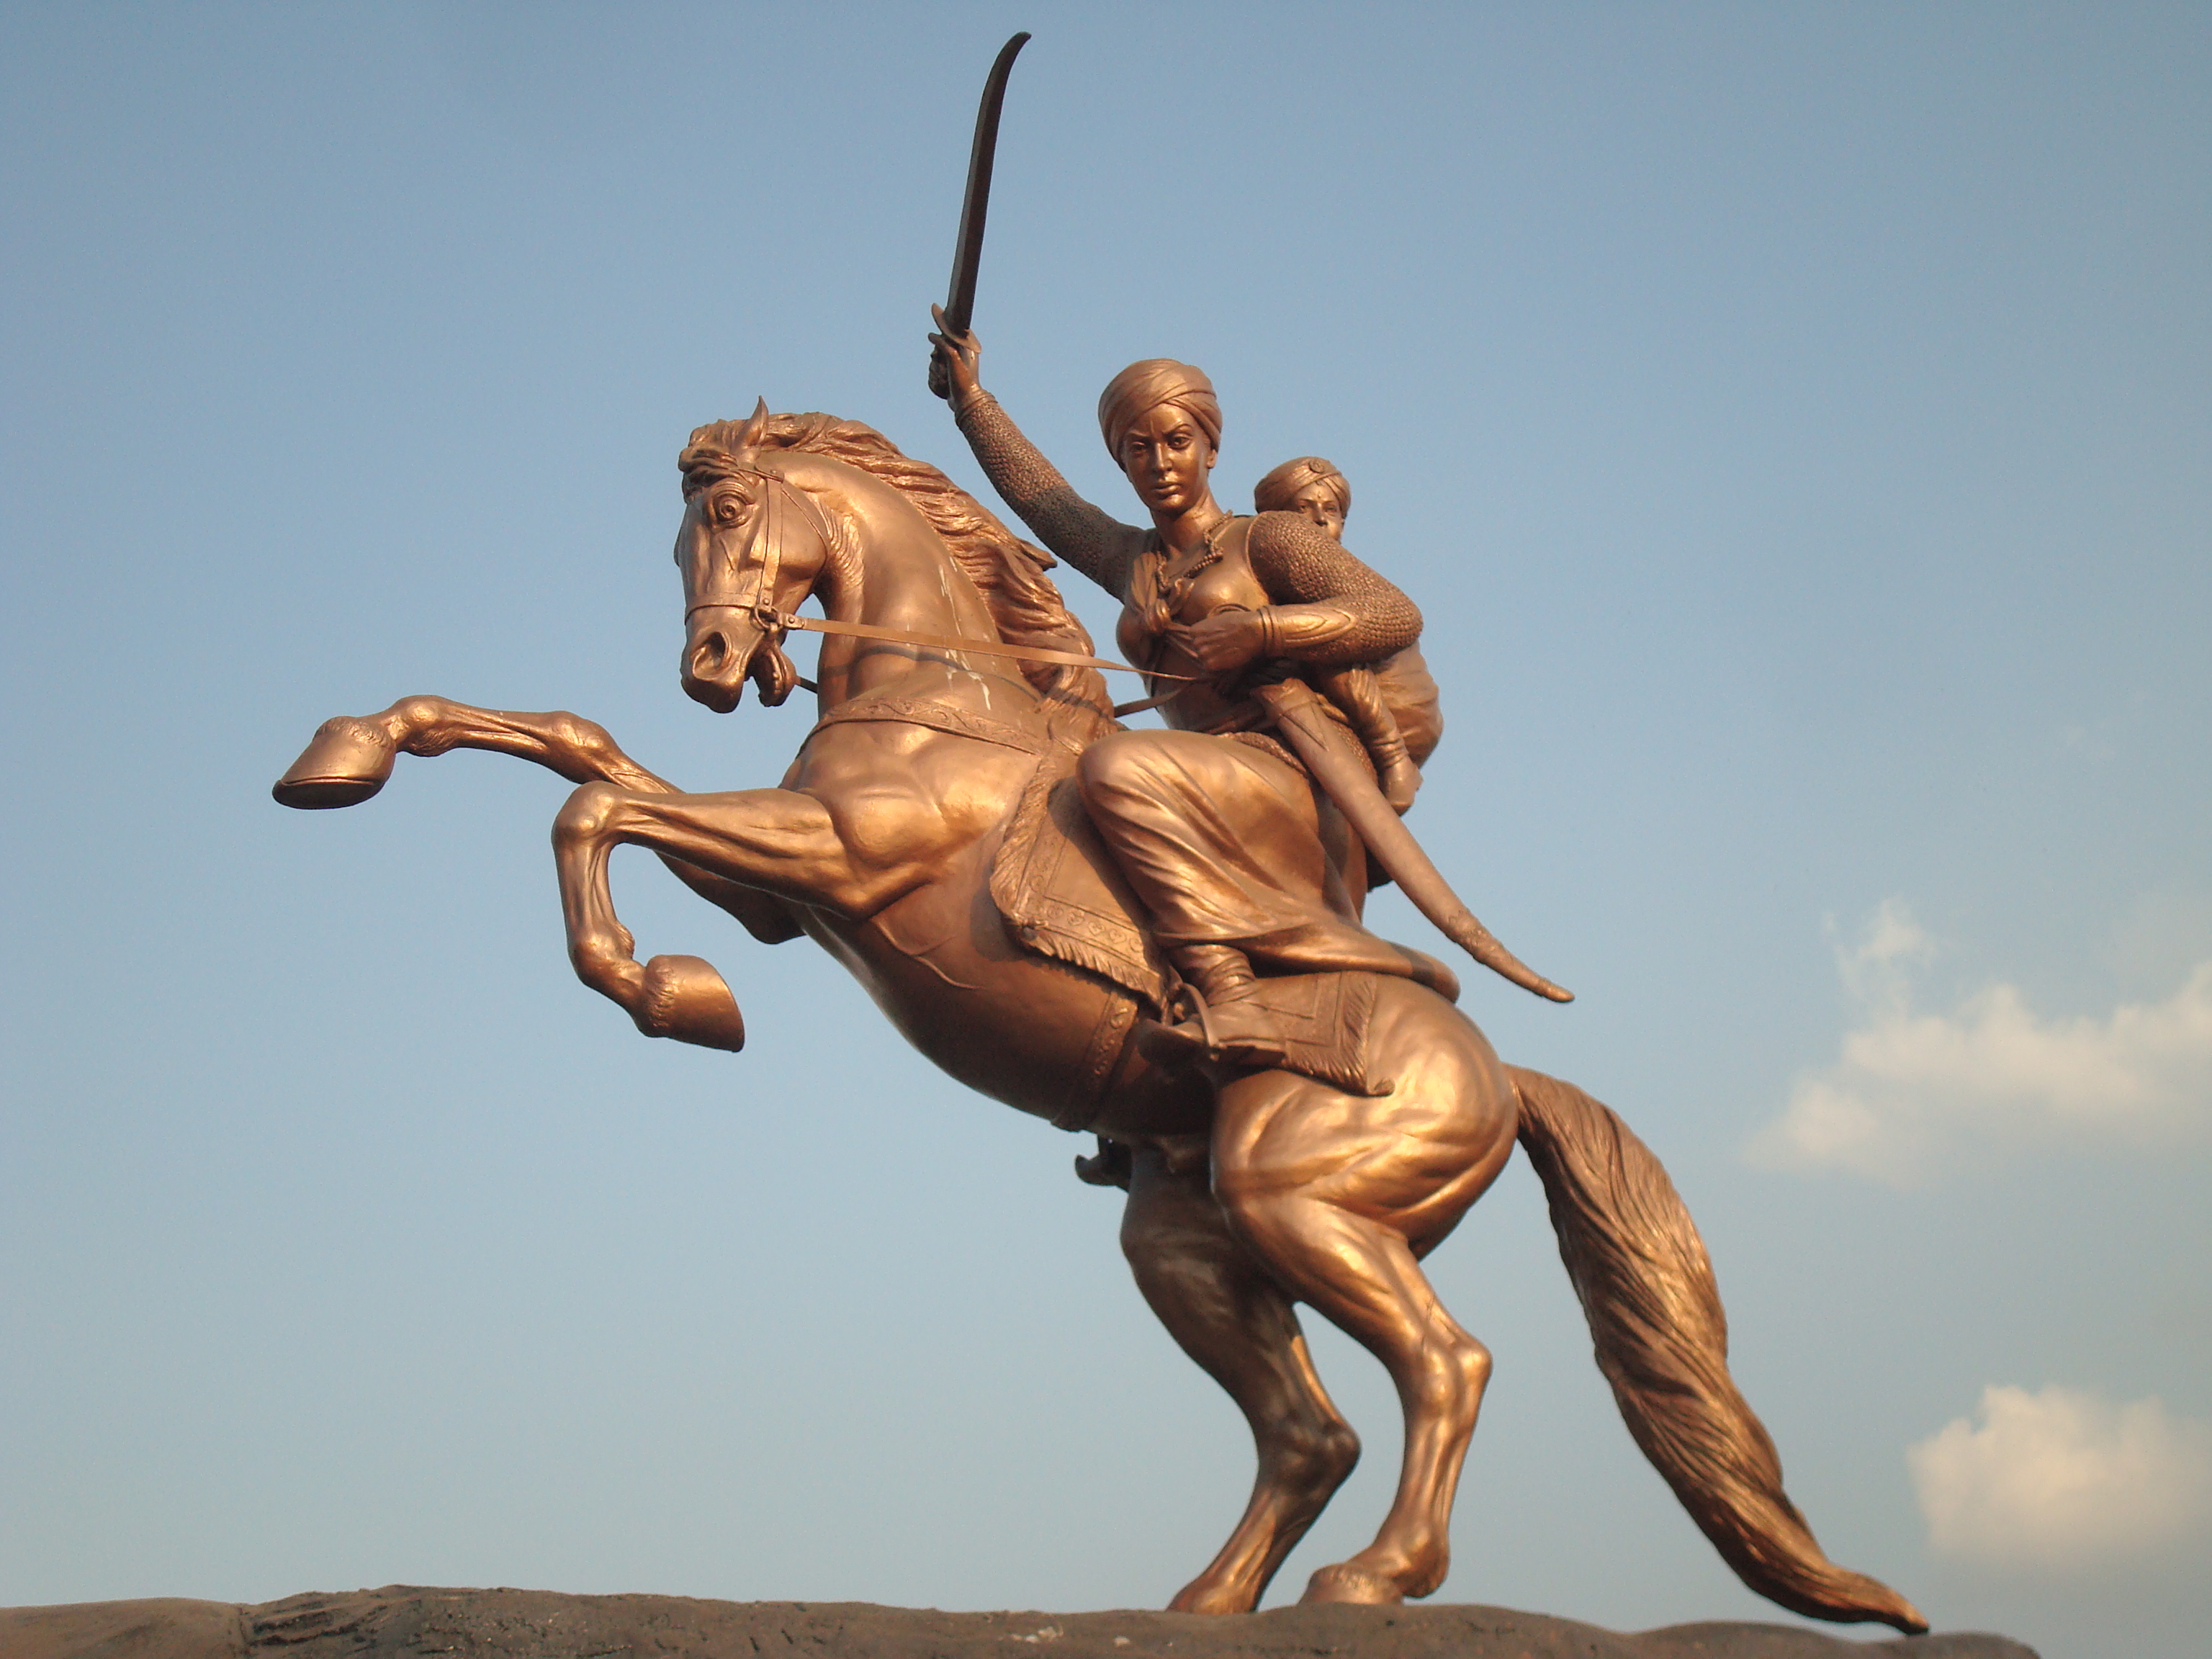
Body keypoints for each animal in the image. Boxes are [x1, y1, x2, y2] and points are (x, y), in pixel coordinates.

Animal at [276, 407, 1928, 1637]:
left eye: (736, 510)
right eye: (680, 530)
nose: (707, 667)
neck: (939, 701)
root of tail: (1504, 1075)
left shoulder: (835, 859)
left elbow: (594, 802)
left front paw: (668, 995)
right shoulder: (779, 886)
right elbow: (575, 750)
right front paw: (344, 754)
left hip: (1304, 1195)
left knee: (1444, 1366)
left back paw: (1373, 1579)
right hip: (1192, 1239)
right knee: (1311, 1428)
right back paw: (1204, 1599)